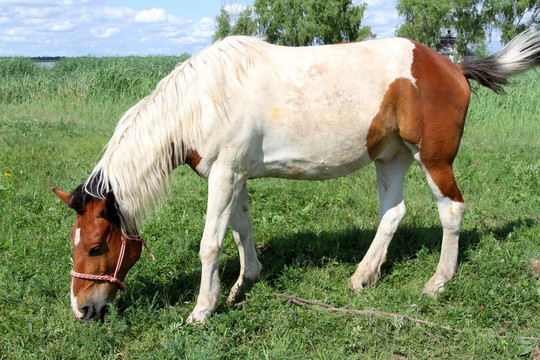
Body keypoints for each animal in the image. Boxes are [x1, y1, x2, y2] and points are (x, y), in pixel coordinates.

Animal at [52, 31, 536, 324]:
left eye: (96, 246)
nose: (82, 309)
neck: (203, 100)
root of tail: (451, 66)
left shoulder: (223, 176)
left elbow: (211, 244)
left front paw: (202, 310)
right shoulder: (235, 175)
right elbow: (241, 230)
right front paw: (244, 283)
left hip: (432, 159)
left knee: (451, 211)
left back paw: (437, 283)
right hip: (391, 157)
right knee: (393, 213)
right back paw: (364, 277)